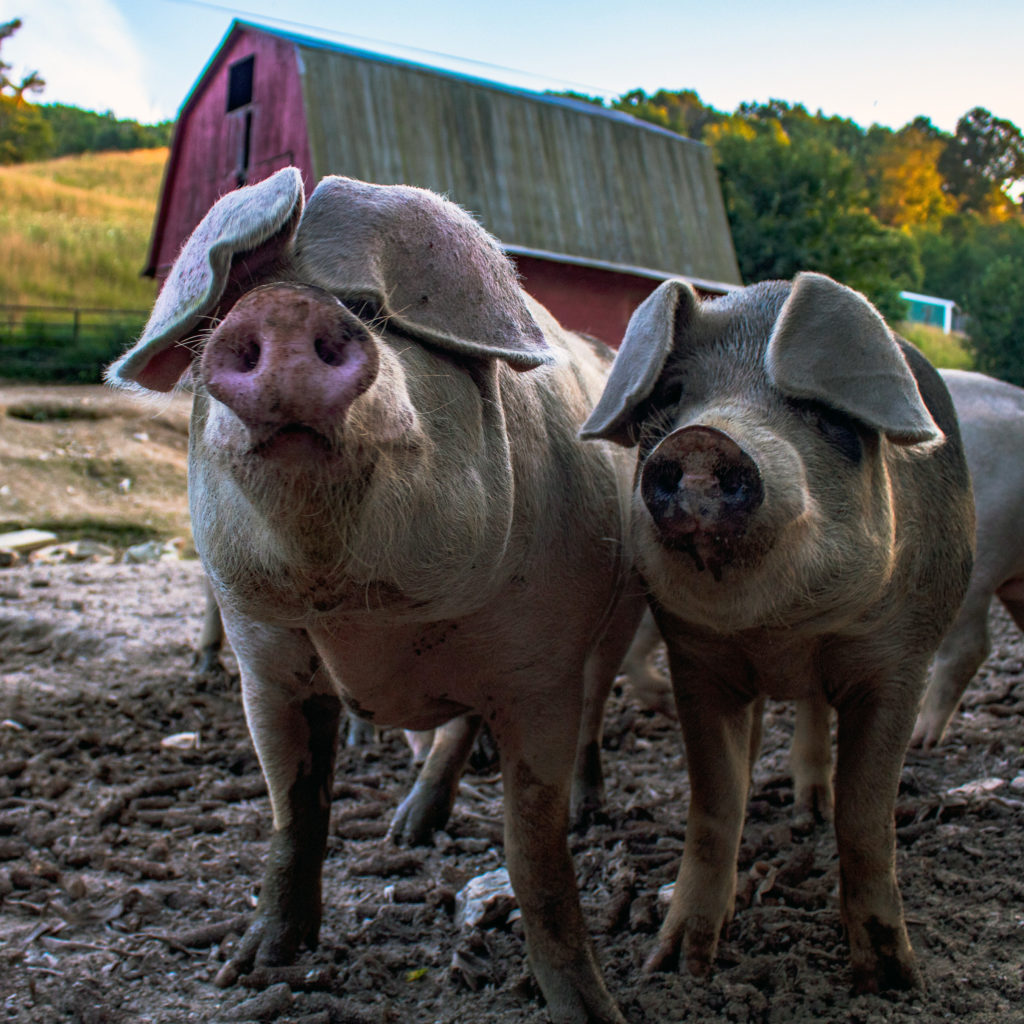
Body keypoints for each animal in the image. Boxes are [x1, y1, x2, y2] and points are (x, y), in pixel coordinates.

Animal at [108, 167, 644, 1024]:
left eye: (371, 312)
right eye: (224, 314)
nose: (282, 308)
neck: (367, 618)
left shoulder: (540, 671)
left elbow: (535, 848)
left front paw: (591, 1010)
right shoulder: (267, 662)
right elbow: (294, 809)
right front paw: (249, 967)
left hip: (619, 613)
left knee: (589, 712)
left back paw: (557, 816)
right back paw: (404, 833)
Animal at [580, 272, 975, 994]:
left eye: (830, 419)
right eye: (671, 399)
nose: (703, 440)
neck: (782, 635)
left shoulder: (902, 661)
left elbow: (866, 813)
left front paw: (891, 980)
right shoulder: (697, 661)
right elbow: (715, 803)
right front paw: (677, 966)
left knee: (816, 718)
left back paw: (810, 810)